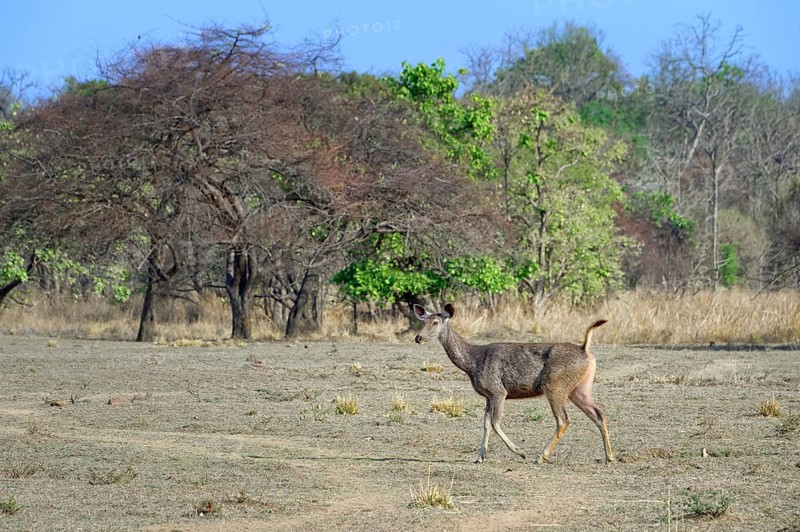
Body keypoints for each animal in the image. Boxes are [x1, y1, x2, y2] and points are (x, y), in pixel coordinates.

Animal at [413, 303, 614, 465]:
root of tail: (585, 350)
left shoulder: (498, 390)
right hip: (580, 388)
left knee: (564, 419)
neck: (472, 363)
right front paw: (480, 457)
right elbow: (485, 423)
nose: (418, 338)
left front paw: (520, 452)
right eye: (423, 321)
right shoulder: (488, 395)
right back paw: (609, 457)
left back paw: (541, 456)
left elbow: (495, 422)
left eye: (435, 322)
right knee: (598, 413)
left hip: (555, 386)